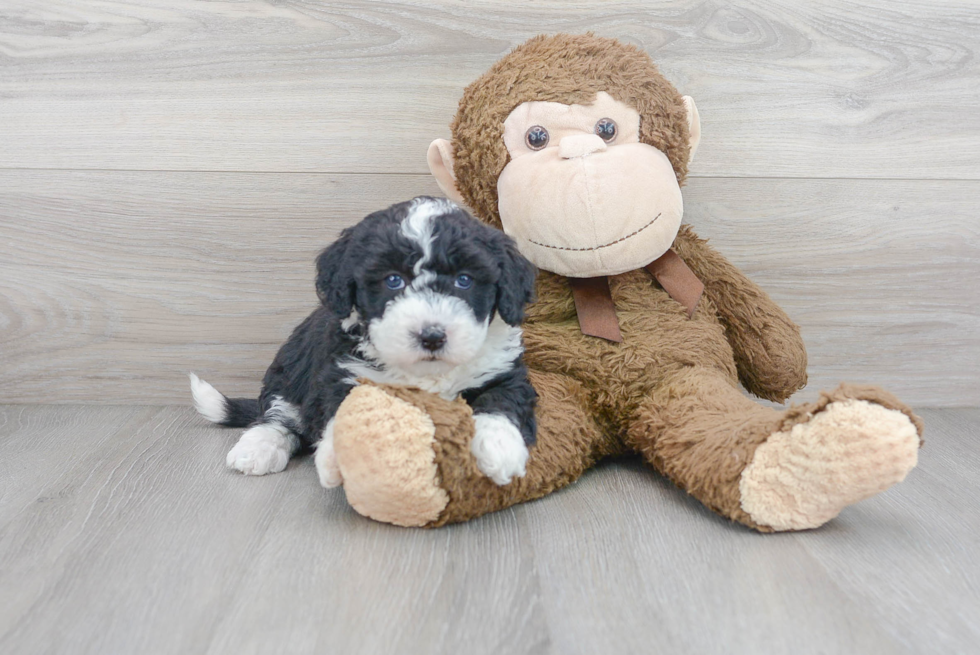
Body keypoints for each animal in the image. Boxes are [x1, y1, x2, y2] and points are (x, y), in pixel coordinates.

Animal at [189, 197, 540, 490]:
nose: (431, 336)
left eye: (464, 280)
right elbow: (343, 410)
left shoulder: (502, 371)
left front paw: (500, 448)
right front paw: (339, 457)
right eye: (393, 280)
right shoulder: (343, 372)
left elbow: (501, 402)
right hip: (290, 369)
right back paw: (257, 448)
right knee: (278, 415)